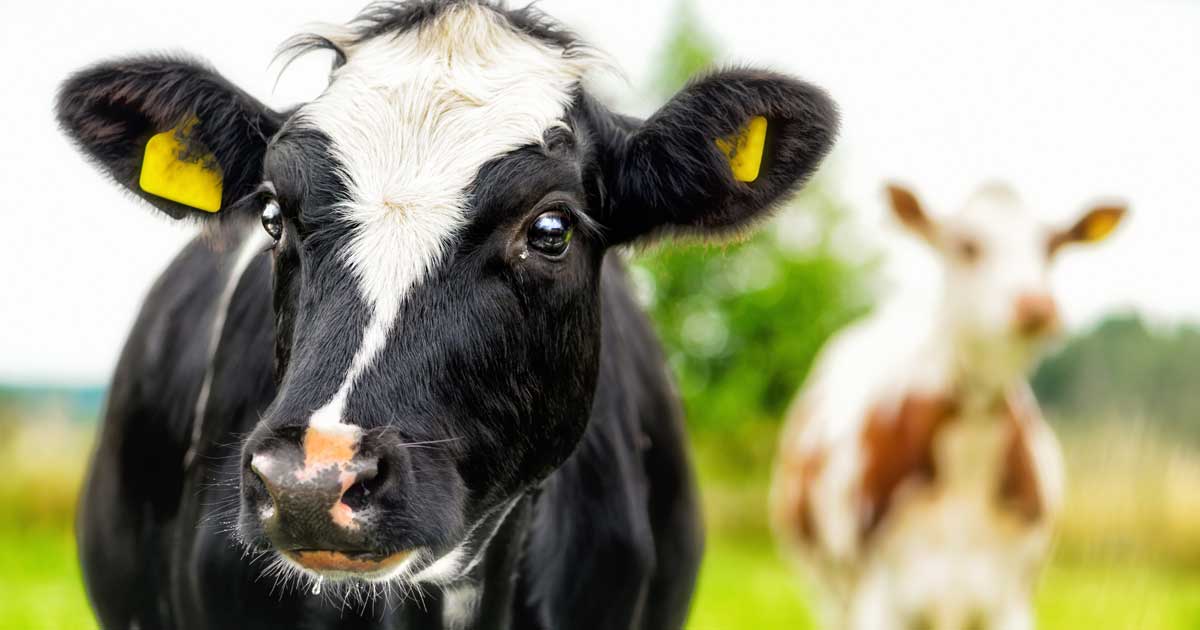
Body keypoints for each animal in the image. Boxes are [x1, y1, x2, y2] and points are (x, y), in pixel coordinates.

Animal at [768, 182, 1123, 628]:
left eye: (1052, 247)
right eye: (967, 245)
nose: (1037, 306)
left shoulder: (1011, 601)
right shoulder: (877, 599)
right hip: (826, 589)